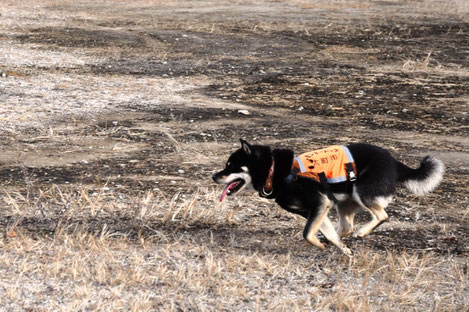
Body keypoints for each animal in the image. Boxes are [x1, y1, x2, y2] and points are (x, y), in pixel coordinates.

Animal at [212, 140, 442, 256]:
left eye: (231, 166)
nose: (214, 176)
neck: (273, 171)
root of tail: (394, 161)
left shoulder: (320, 203)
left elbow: (307, 234)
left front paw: (323, 246)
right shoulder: (316, 209)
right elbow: (324, 232)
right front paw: (338, 248)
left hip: (361, 192)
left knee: (382, 216)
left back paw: (361, 232)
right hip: (344, 202)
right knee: (346, 227)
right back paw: (341, 240)